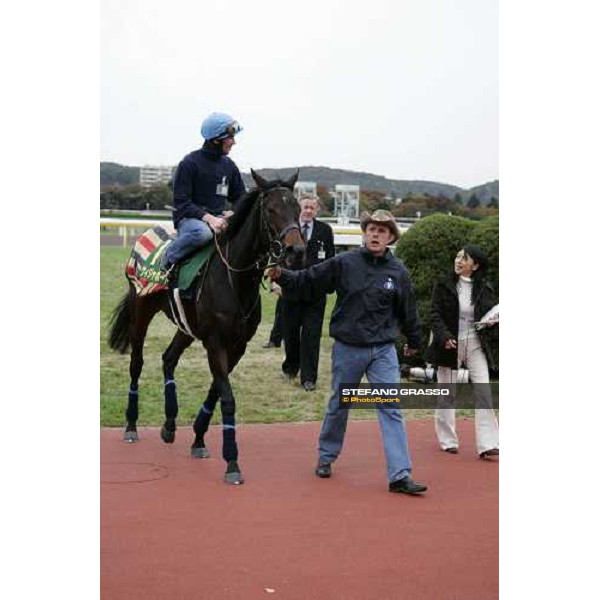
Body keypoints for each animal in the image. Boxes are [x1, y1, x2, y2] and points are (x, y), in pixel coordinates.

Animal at [107, 169, 304, 482]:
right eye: (271, 210)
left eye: (298, 209)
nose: (296, 250)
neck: (235, 279)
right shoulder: (215, 342)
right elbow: (227, 397)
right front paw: (232, 461)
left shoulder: (237, 346)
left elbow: (216, 391)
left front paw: (198, 438)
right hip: (141, 311)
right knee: (136, 363)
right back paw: (131, 426)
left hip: (186, 327)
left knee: (168, 358)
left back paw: (170, 424)